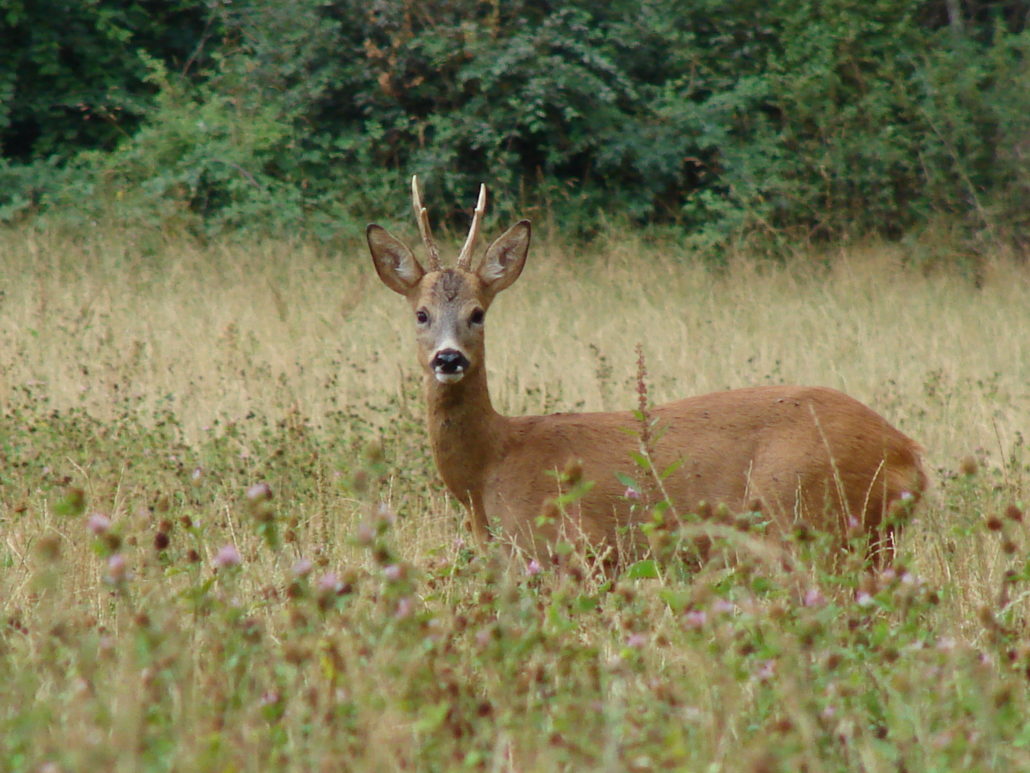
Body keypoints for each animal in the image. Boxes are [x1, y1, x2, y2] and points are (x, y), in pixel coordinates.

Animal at [366, 177, 931, 568]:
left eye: (478, 313)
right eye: (421, 314)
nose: (449, 359)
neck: (489, 469)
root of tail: (909, 456)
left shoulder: (579, 549)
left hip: (810, 513)